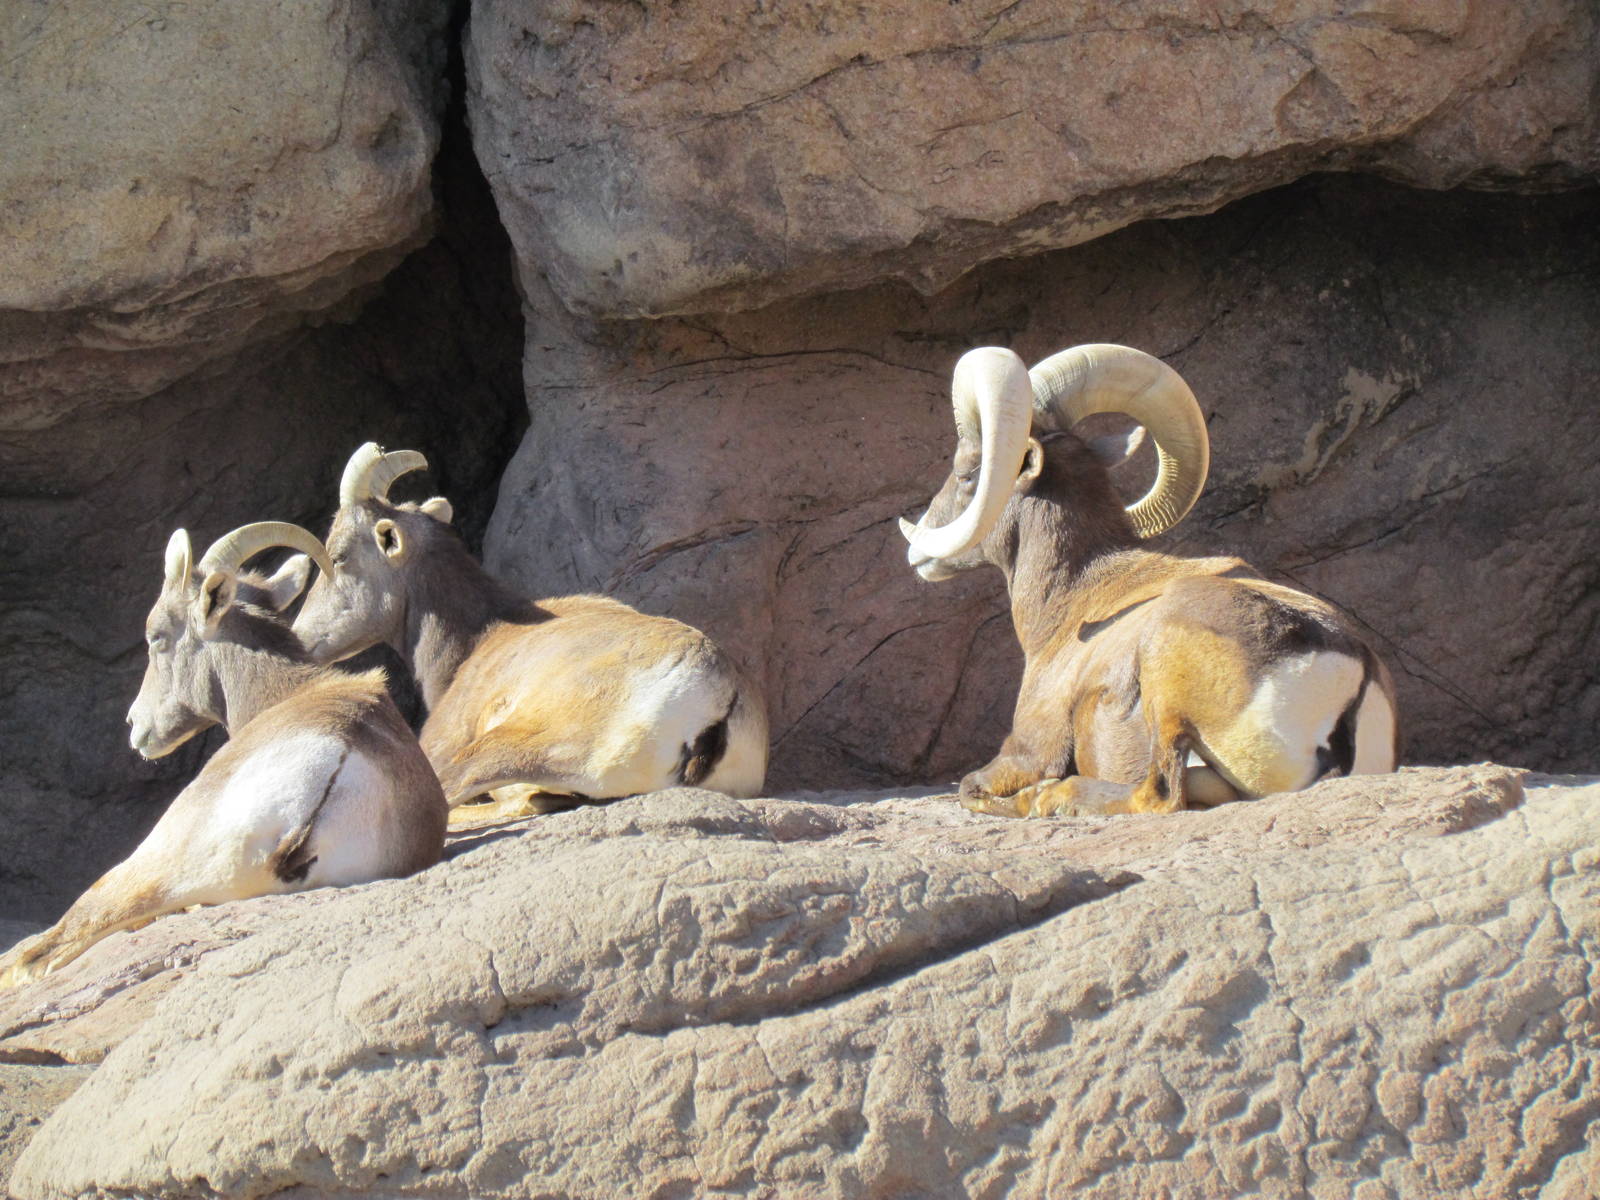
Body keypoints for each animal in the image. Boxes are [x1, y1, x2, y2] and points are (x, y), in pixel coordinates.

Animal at [0, 523, 446, 987]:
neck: (286, 693)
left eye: (157, 637)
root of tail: (335, 782)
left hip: (158, 861)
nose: (135, 726)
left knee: (63, 940)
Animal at [899, 344, 1397, 818]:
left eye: (967, 472)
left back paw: (1054, 798)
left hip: (1165, 676)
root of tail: (1355, 678)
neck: (1073, 599)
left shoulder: (1027, 750)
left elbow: (969, 787)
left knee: (1160, 792)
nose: (917, 551)